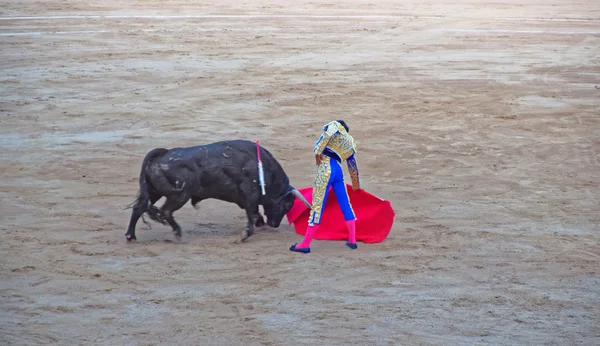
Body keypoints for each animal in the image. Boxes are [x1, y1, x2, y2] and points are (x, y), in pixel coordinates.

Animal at [124, 139, 312, 242]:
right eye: (286, 205)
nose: (274, 224)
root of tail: (162, 154)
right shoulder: (249, 195)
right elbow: (251, 214)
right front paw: (245, 235)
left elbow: (255, 213)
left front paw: (259, 224)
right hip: (180, 194)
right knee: (165, 211)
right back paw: (177, 232)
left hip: (154, 192)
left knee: (140, 207)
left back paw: (130, 236)